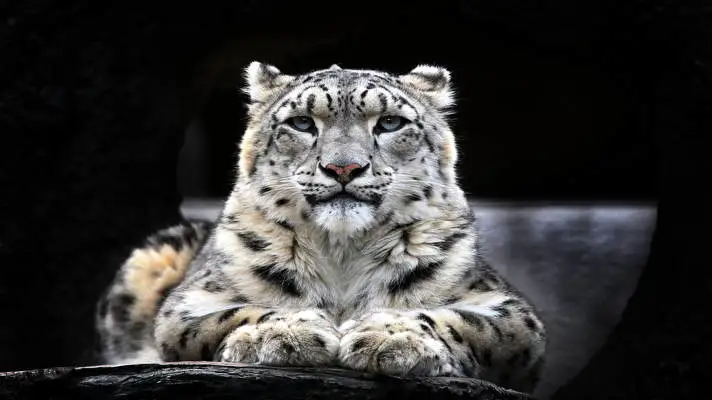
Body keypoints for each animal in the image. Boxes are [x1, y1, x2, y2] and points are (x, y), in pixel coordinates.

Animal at [96, 62, 547, 393]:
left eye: (389, 123)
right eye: (301, 123)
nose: (343, 167)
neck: (342, 254)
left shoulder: (509, 310)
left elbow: (461, 320)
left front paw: (391, 337)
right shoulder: (189, 302)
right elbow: (233, 313)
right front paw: (285, 333)